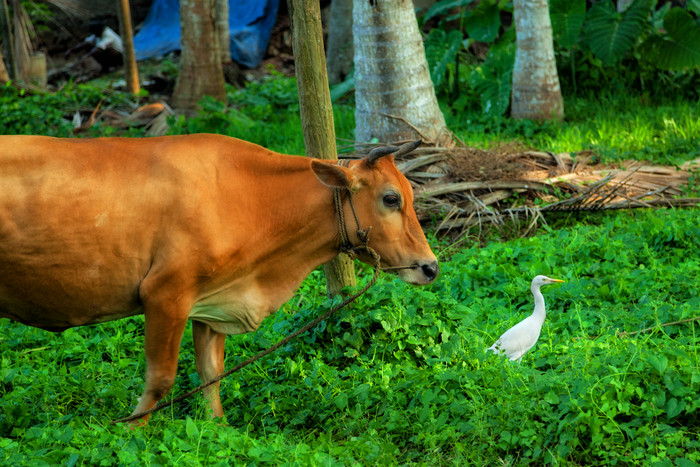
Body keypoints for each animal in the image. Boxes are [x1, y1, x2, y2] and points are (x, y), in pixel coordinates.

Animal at [0, 133, 438, 422]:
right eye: (391, 198)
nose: (430, 267)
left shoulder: (211, 302)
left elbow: (211, 374)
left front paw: (217, 427)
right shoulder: (166, 295)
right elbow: (160, 379)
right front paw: (132, 432)